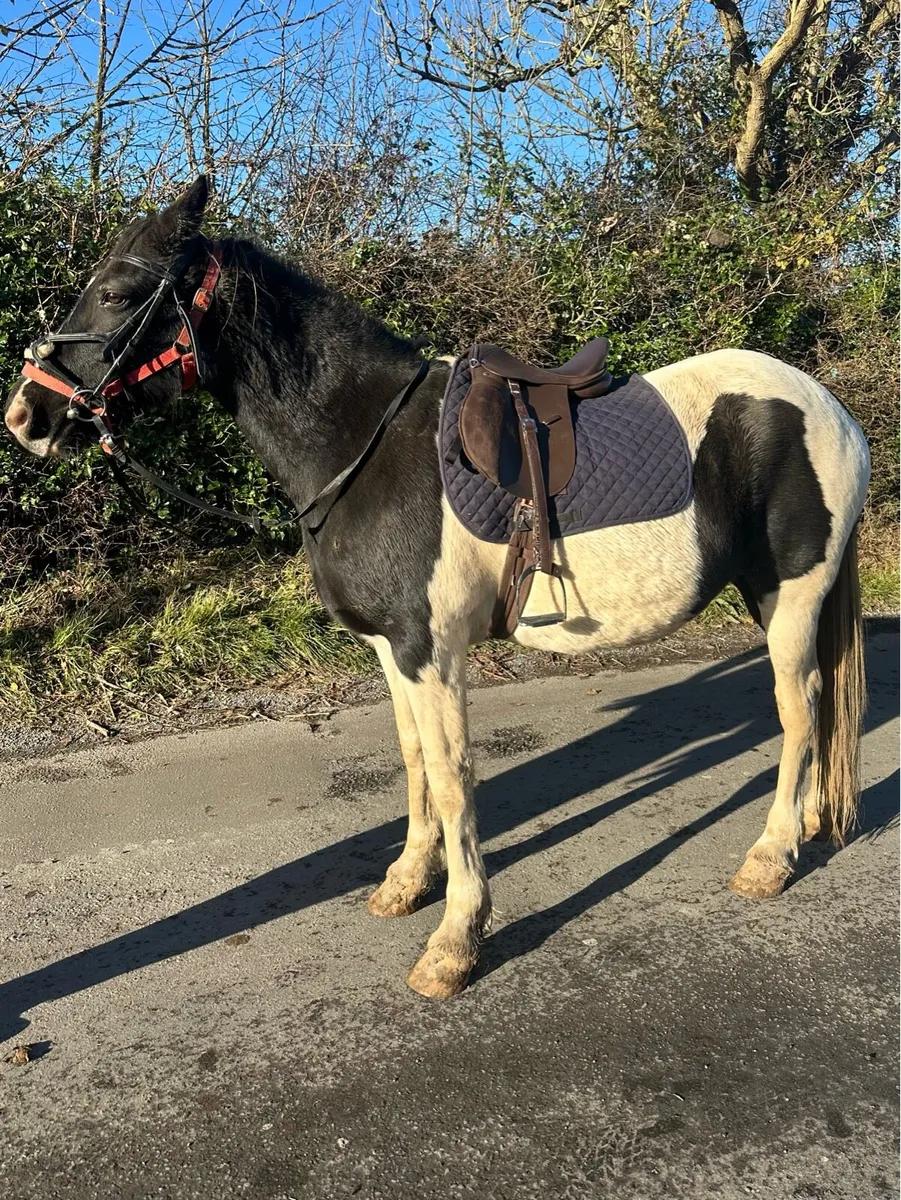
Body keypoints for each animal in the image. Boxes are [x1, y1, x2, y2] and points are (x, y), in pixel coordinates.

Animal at [4, 177, 870, 999]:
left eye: (119, 292)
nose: (27, 413)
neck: (368, 445)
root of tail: (829, 406)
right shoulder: (392, 651)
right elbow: (416, 761)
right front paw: (406, 883)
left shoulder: (433, 650)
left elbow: (454, 782)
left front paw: (455, 941)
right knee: (819, 708)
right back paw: (808, 826)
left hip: (787, 599)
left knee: (800, 713)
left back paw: (768, 855)